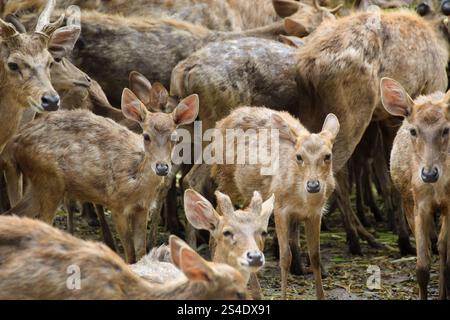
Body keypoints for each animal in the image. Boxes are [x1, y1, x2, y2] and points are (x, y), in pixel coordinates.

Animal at [3, 89, 199, 264]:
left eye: (174, 137)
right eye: (146, 136)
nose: (162, 167)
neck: (136, 181)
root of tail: (15, 142)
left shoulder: (142, 208)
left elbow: (140, 250)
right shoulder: (117, 204)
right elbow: (130, 253)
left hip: (39, 184)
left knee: (12, 214)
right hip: (49, 180)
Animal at [213, 106, 340, 298]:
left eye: (328, 155)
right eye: (299, 156)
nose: (313, 185)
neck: (303, 201)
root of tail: (222, 120)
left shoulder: (315, 213)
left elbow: (315, 256)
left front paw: (321, 295)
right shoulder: (280, 208)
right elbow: (285, 257)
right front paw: (283, 295)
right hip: (225, 177)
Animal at [380, 77, 450, 300]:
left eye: (446, 129)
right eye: (413, 130)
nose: (429, 174)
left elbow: (445, 253)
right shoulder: (418, 204)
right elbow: (422, 264)